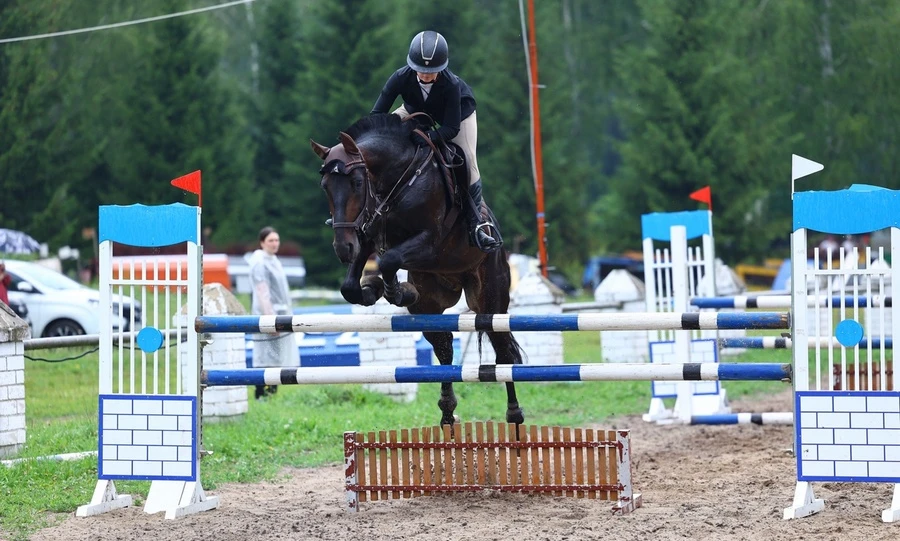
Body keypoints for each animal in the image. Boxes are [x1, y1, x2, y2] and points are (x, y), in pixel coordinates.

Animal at [310, 113, 525, 427]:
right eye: (325, 185)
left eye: (357, 182)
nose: (342, 248)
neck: (396, 181)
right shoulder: (367, 233)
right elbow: (350, 287)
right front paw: (376, 288)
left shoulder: (429, 241)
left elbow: (388, 261)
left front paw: (394, 290)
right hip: (431, 304)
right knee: (444, 346)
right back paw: (447, 411)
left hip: (490, 299)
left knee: (503, 349)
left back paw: (513, 413)